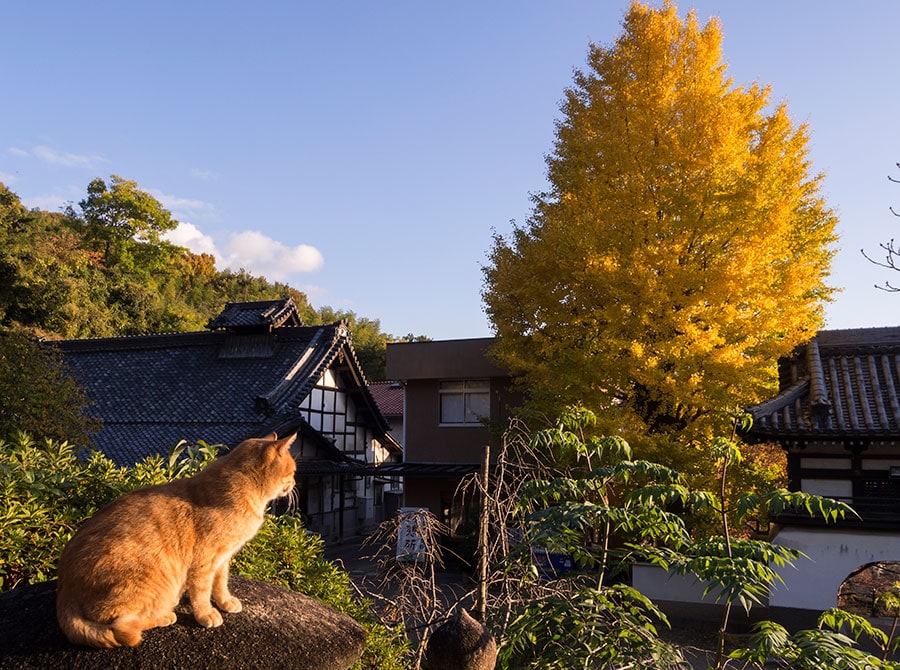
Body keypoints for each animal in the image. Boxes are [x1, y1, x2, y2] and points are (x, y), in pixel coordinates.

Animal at [56, 434, 298, 648]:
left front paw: (226, 602)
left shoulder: (222, 558)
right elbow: (201, 593)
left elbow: (220, 584)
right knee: (120, 623)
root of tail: (65, 592)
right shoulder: (204, 560)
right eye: (294, 471)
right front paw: (207, 614)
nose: (295, 482)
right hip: (152, 581)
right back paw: (164, 616)